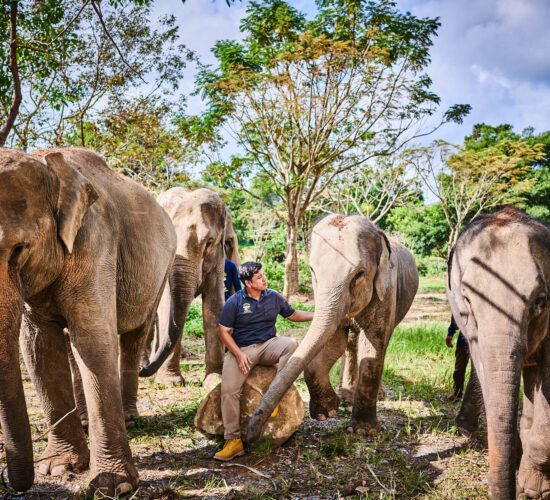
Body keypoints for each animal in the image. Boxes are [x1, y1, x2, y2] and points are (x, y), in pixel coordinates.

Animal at [0, 146, 177, 494]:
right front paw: (59, 468)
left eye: (18, 250)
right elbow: (39, 348)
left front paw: (113, 486)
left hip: (161, 270)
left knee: (134, 337)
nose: (18, 485)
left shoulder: (95, 241)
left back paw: (129, 418)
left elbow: (93, 338)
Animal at [139, 188, 238, 386]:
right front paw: (170, 382)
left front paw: (215, 380)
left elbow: (215, 306)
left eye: (209, 243)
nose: (142, 371)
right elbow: (166, 305)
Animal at [247, 212, 418, 442]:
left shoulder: (386, 290)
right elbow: (334, 340)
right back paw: (346, 397)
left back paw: (376, 395)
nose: (248, 438)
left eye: (359, 274)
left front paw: (363, 431)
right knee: (351, 343)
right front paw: (326, 412)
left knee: (380, 343)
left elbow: (372, 344)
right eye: (312, 270)